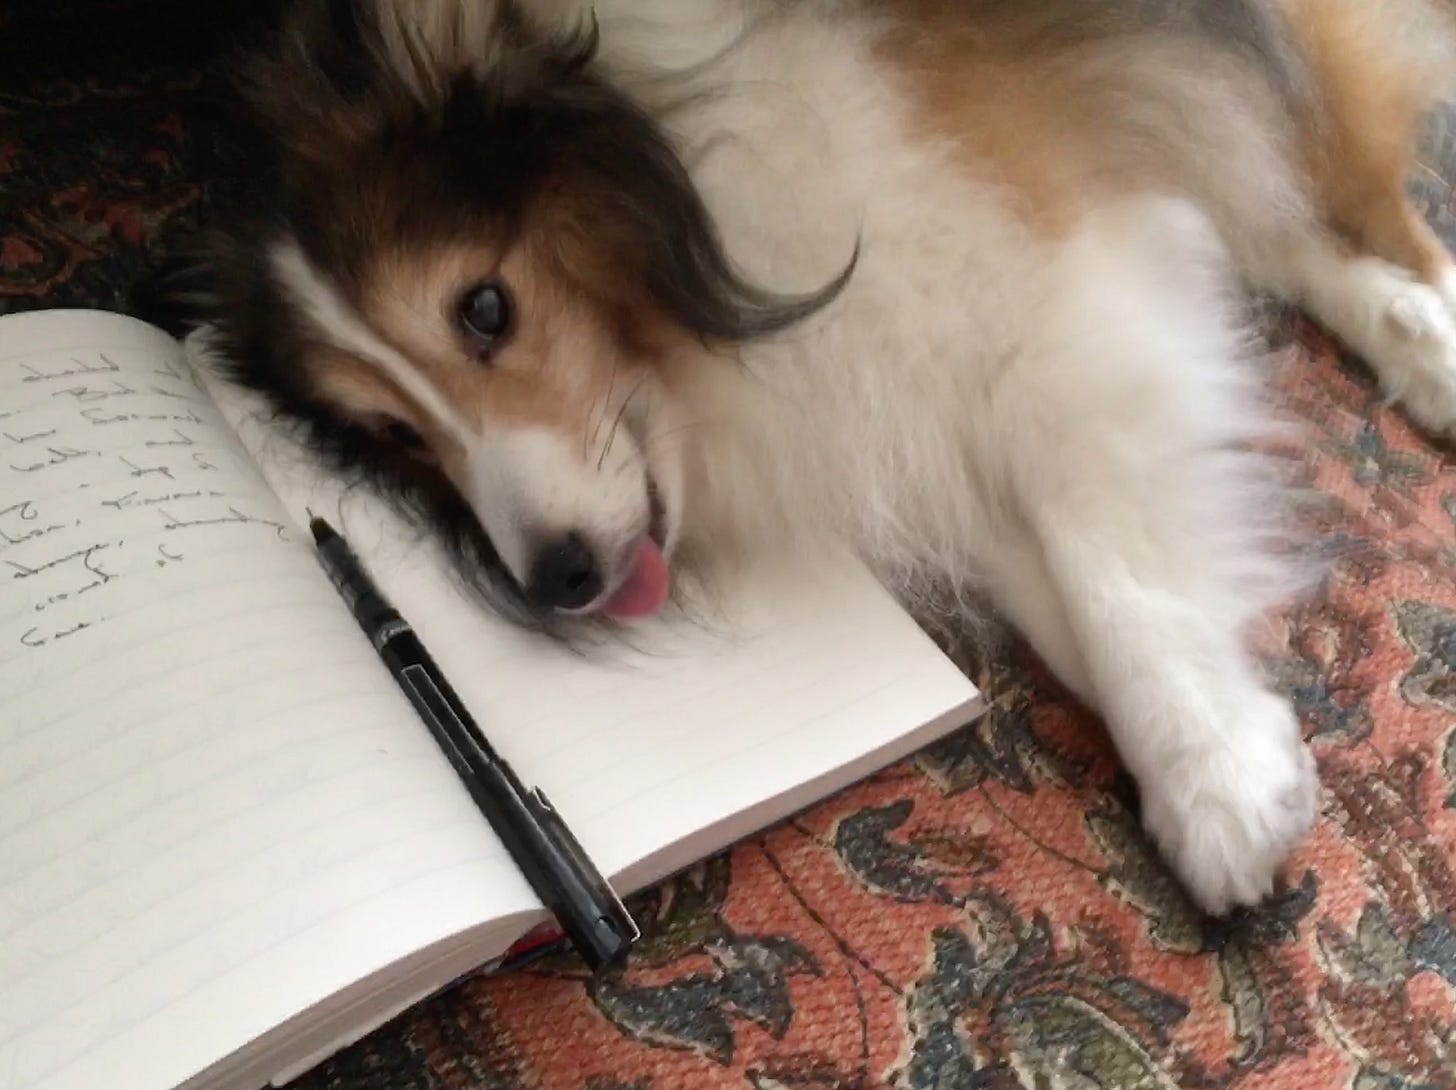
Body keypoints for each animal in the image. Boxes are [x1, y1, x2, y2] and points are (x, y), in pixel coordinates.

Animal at [144, 0, 1456, 913]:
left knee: (1333, 189)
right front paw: (1226, 737)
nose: (559, 581)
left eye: (483, 308)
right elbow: (1044, 576)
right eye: (395, 435)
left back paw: (1430, 331)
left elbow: (1096, 536)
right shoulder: (903, 382)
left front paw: (1210, 780)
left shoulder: (1019, 245)